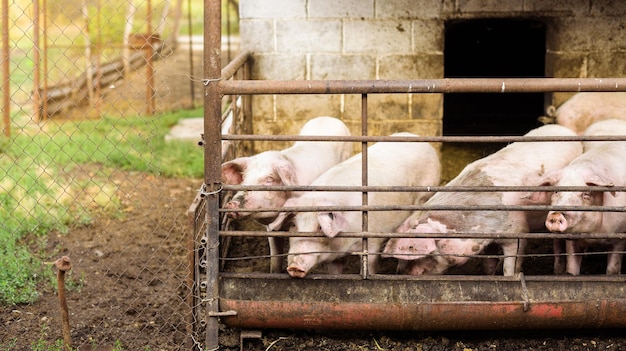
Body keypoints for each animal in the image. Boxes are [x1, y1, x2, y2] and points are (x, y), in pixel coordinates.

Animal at [222, 117, 354, 274]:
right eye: (245, 178)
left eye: (269, 180)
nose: (231, 204)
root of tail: (328, 117)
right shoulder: (271, 229)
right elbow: (275, 257)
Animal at [266, 133, 438, 280]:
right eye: (294, 225)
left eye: (320, 227)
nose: (294, 266)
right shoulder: (334, 258)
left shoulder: (372, 242)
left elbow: (370, 266)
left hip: (424, 196)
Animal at [382, 126, 584, 278]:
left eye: (421, 255)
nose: (400, 273)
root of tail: (565, 130)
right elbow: (488, 265)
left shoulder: (518, 231)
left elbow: (511, 266)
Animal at [540, 121, 624, 278]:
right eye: (556, 191)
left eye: (585, 194)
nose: (556, 214)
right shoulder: (572, 239)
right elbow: (572, 268)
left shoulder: (620, 236)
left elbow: (612, 269)